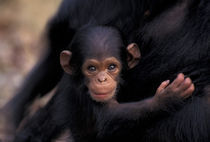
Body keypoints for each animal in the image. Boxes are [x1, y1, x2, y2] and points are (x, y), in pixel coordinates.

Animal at [14, 25, 194, 142]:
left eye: (111, 67)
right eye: (92, 68)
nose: (102, 79)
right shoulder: (84, 95)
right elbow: (110, 117)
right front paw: (167, 98)